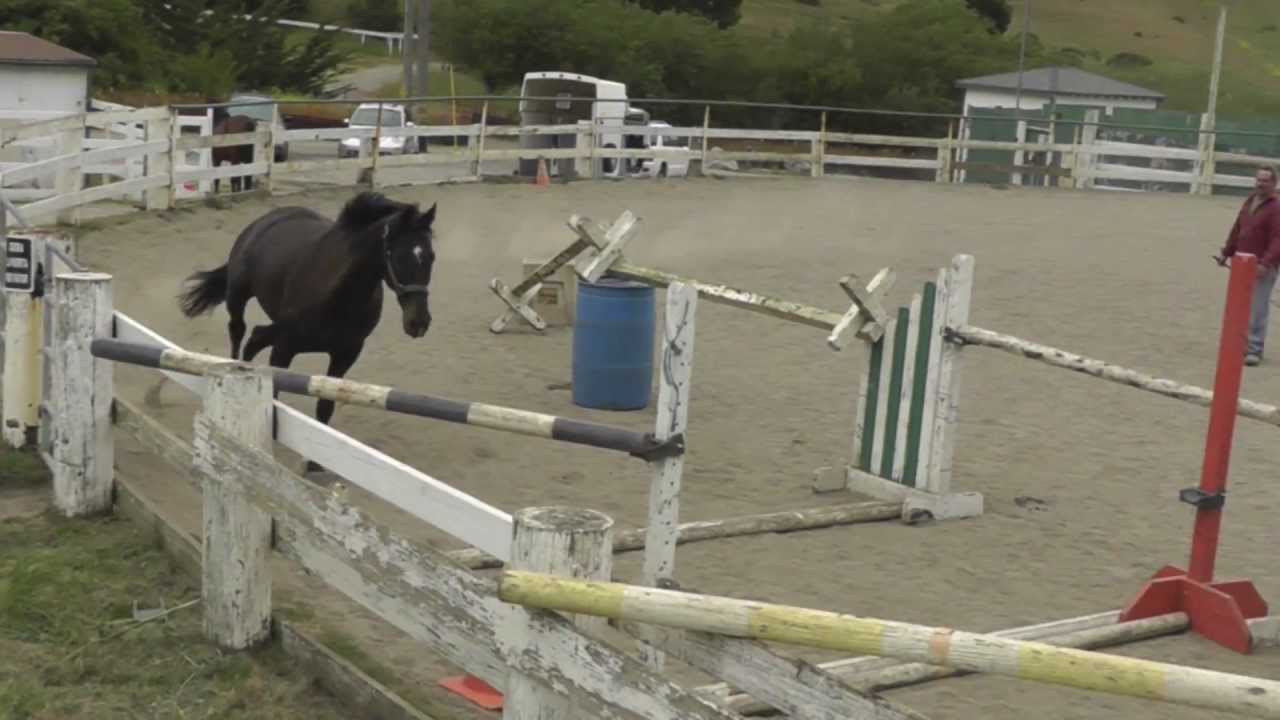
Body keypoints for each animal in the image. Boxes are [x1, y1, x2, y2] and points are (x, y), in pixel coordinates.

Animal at [177, 191, 437, 469]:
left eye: (431, 257)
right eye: (398, 256)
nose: (419, 323)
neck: (339, 296)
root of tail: (263, 221)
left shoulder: (345, 353)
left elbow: (325, 405)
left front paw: (314, 463)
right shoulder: (285, 346)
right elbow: (275, 392)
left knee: (255, 337)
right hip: (238, 297)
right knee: (238, 332)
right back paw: (236, 365)